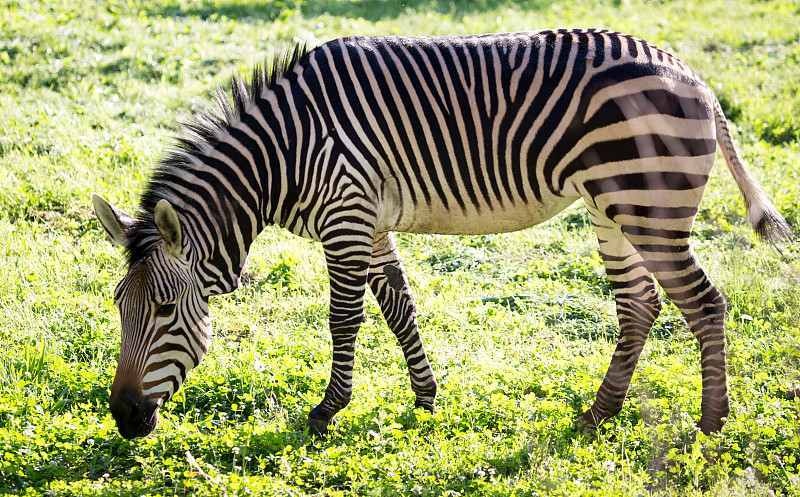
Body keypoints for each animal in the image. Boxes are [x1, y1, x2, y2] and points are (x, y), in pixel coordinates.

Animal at [92, 30, 788, 438]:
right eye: (120, 306)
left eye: (162, 309)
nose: (124, 419)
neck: (282, 156)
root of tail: (695, 78)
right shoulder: (370, 220)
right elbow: (398, 306)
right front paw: (427, 400)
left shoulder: (346, 218)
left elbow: (345, 317)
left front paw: (327, 411)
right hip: (613, 208)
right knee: (640, 304)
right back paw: (599, 413)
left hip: (647, 203)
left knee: (704, 303)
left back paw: (711, 425)